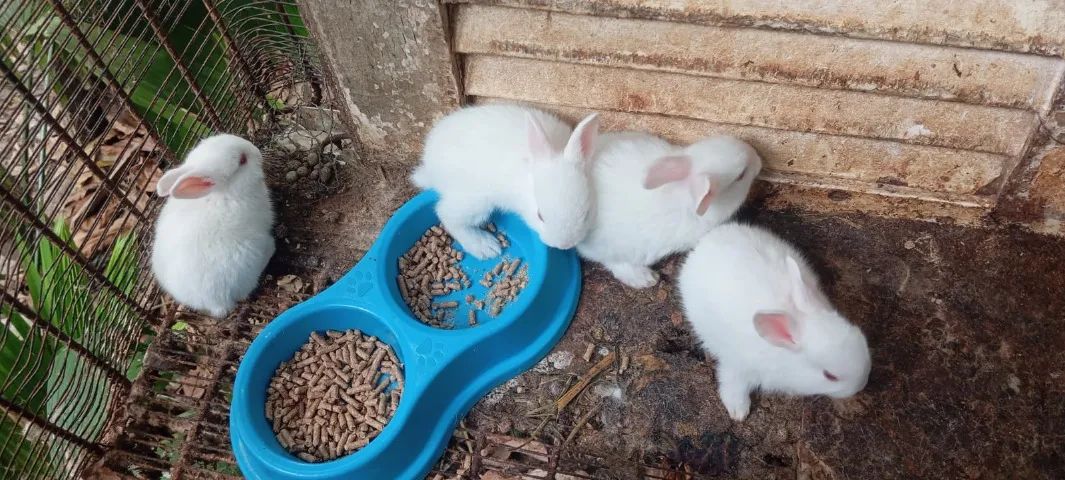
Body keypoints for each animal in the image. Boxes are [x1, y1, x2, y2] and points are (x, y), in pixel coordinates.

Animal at [410, 104, 600, 259]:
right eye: (540, 216)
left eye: (586, 214)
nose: (564, 245)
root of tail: (429, 163)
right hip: (475, 201)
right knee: (445, 214)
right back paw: (484, 246)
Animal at [677, 223, 871, 421]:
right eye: (830, 376)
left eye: (861, 338)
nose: (862, 384)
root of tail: (708, 237)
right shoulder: (738, 367)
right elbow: (732, 386)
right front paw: (739, 412)